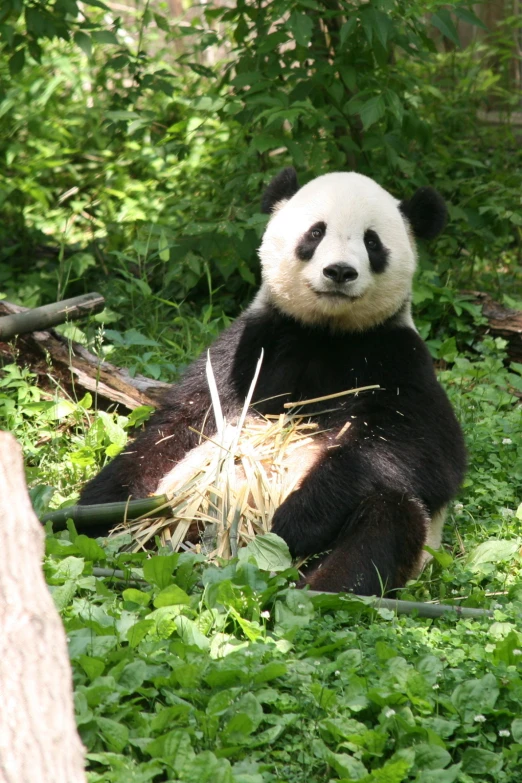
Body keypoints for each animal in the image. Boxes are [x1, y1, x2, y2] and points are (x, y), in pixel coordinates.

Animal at [78, 170, 464, 596]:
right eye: (316, 232)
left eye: (372, 241)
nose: (340, 271)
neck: (327, 332)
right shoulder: (250, 347)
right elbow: (181, 423)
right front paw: (100, 505)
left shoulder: (397, 359)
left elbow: (420, 452)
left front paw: (294, 520)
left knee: (387, 519)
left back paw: (319, 589)